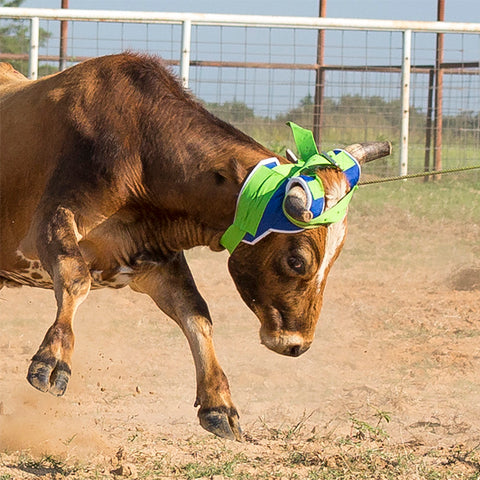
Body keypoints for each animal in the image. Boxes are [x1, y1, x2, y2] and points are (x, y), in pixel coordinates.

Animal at [0, 52, 390, 438]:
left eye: (334, 259)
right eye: (297, 260)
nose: (297, 343)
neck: (142, 150)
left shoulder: (152, 260)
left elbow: (196, 313)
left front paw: (219, 401)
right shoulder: (51, 223)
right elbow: (76, 279)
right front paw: (53, 358)